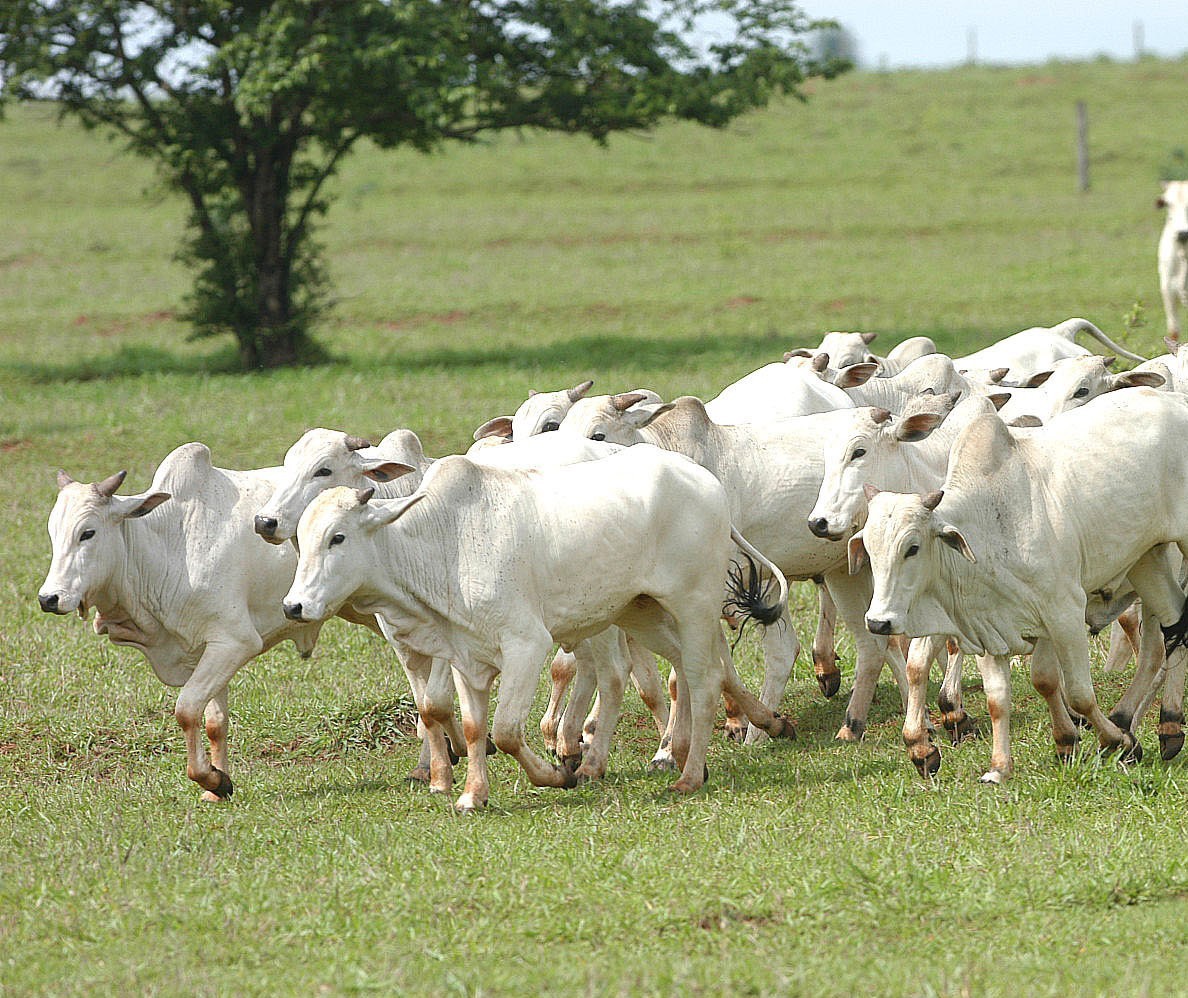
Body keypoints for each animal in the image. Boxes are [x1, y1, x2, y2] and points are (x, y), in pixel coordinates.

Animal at [38, 444, 325, 803]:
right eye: (53, 533)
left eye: (87, 533)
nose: (49, 598)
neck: (169, 548)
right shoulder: (207, 649)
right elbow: (215, 721)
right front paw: (217, 786)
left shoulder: (235, 642)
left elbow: (187, 710)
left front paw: (212, 779)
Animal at [282, 444, 793, 812]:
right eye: (301, 541)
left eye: (338, 537)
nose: (294, 605)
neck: (446, 544)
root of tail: (704, 479)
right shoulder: (465, 657)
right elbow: (473, 728)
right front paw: (472, 795)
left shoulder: (526, 645)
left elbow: (507, 730)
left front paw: (556, 775)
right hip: (640, 612)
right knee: (694, 671)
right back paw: (759, 726)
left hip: (693, 606)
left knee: (703, 679)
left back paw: (688, 774)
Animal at [850, 389, 1188, 788]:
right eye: (869, 549)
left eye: (912, 547)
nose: (878, 622)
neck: (991, 523)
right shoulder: (988, 625)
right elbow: (1002, 697)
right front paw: (1000, 766)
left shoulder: (1063, 613)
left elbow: (1079, 694)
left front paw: (1117, 741)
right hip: (1146, 558)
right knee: (1175, 625)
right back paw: (1167, 727)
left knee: (1156, 646)